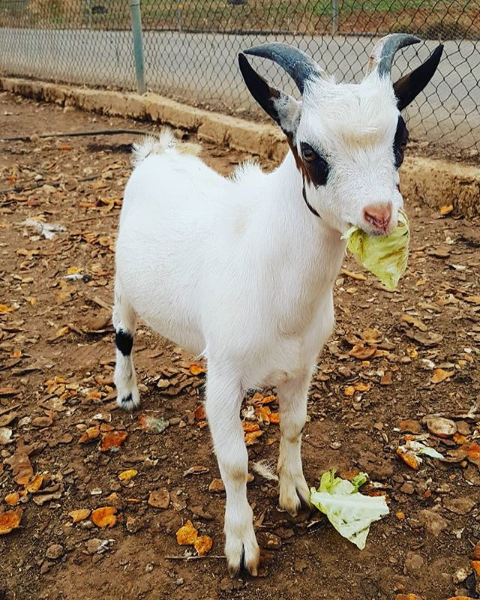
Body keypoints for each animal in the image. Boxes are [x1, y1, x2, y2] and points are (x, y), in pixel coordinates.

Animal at [113, 34, 443, 575]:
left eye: (402, 138)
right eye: (309, 150)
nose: (380, 214)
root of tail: (158, 150)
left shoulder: (303, 365)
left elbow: (293, 427)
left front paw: (298, 495)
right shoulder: (225, 374)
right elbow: (234, 464)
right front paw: (241, 546)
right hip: (123, 278)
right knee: (122, 330)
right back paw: (126, 393)